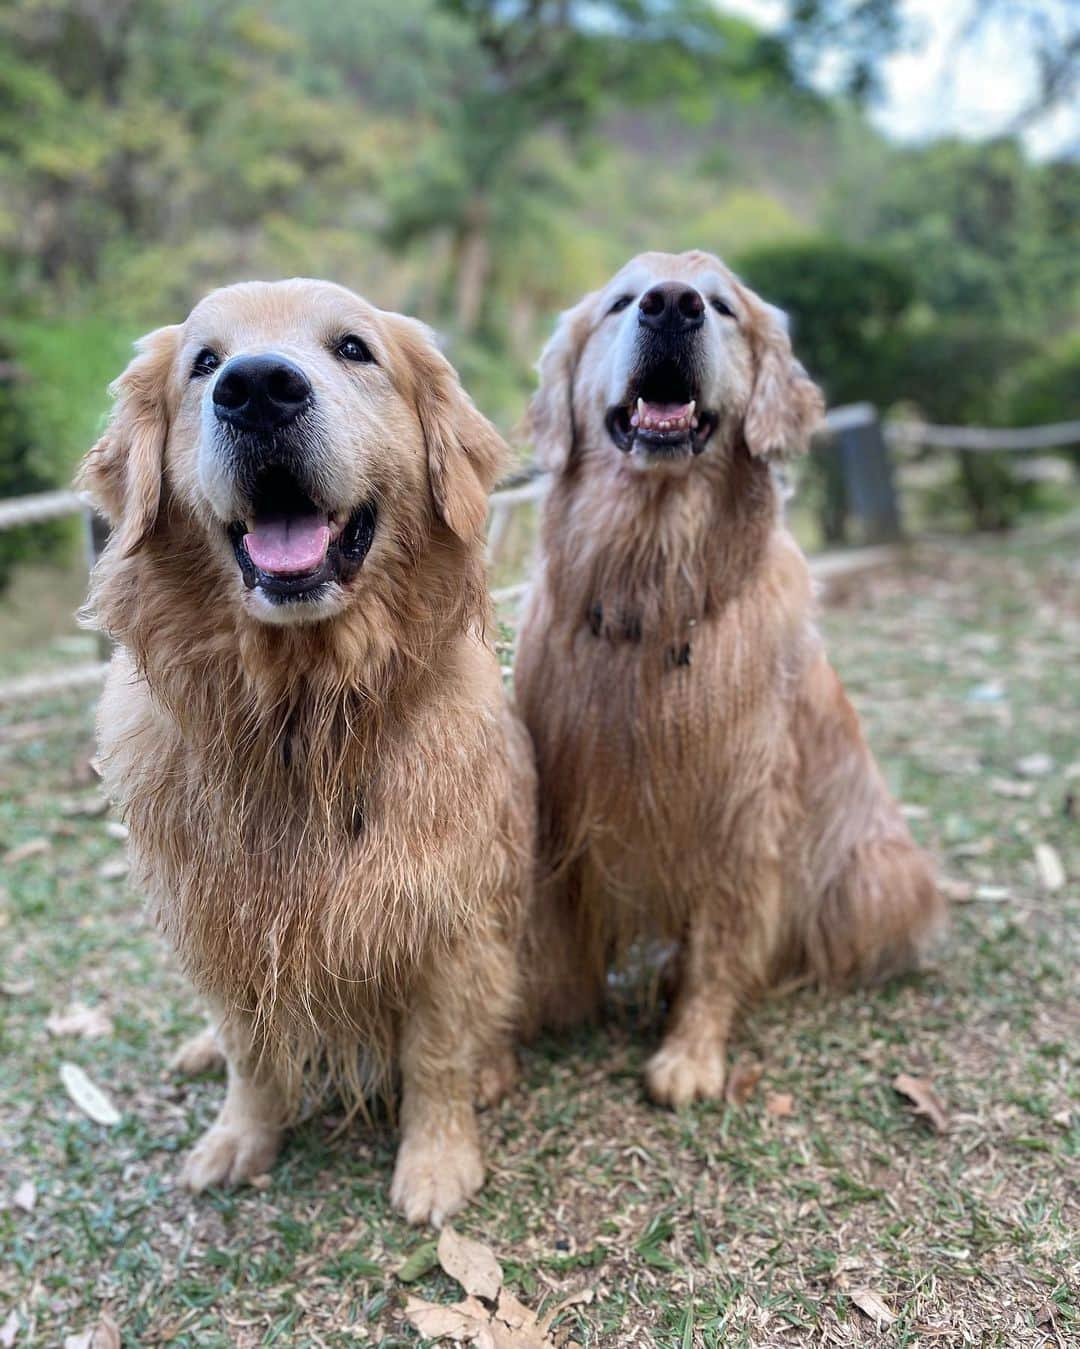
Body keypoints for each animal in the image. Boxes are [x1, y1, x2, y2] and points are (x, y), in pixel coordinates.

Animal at [77, 279, 533, 1230]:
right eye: (203, 362)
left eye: (354, 348)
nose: (256, 389)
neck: (302, 711)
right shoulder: (221, 922)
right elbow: (250, 1051)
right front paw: (241, 1136)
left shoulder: (451, 917)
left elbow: (437, 1054)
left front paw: (438, 1161)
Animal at [515, 253, 943, 1106]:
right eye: (621, 301)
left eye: (721, 306)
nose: (671, 305)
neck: (653, 584)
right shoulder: (558, 796)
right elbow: (541, 937)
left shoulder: (739, 806)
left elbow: (721, 941)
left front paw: (691, 1051)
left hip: (878, 875)